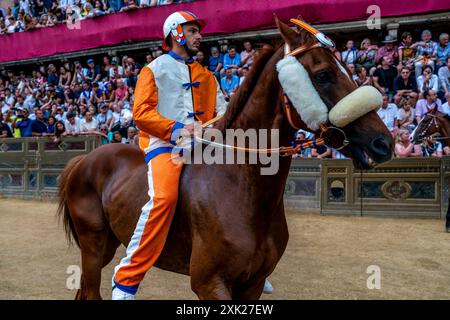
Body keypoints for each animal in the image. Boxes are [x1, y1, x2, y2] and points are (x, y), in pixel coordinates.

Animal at [57, 18, 394, 300]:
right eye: (323, 74)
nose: (383, 143)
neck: (241, 189)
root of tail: (83, 160)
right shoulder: (210, 283)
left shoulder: (253, 283)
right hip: (93, 244)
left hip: (109, 243)